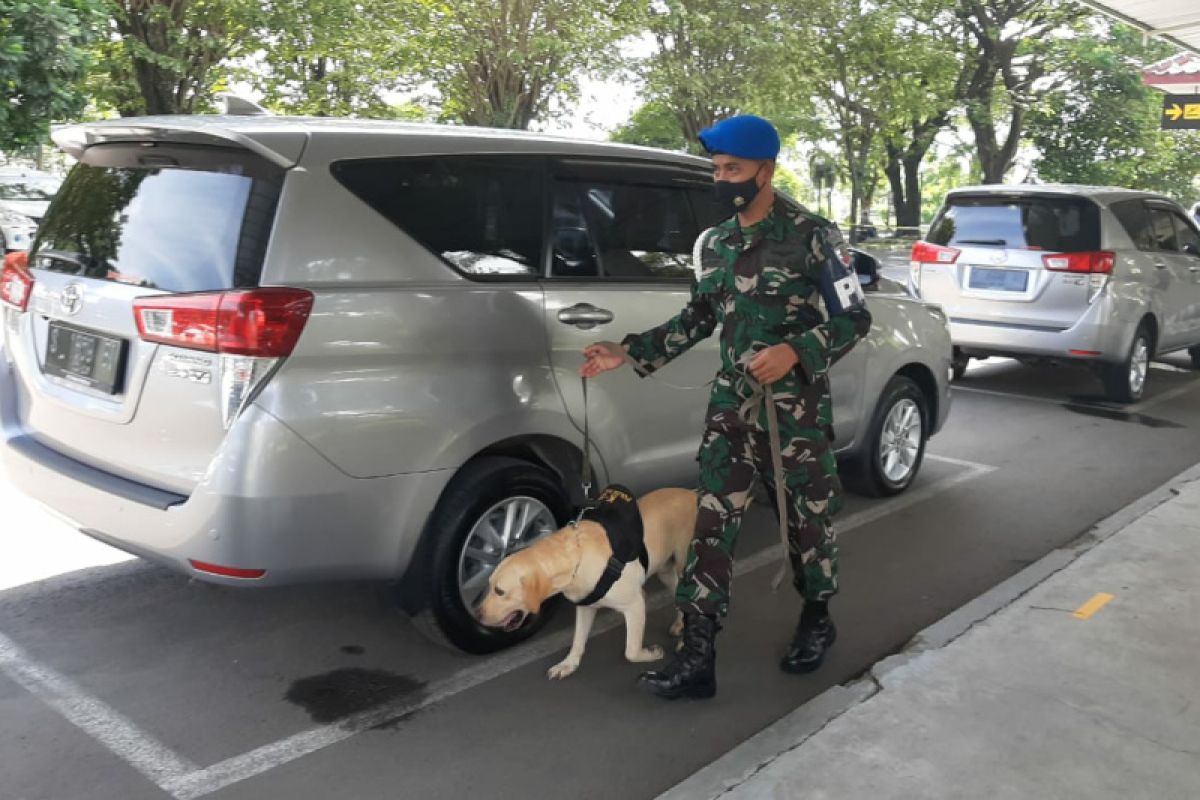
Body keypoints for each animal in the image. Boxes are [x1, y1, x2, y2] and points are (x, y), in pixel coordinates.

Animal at [477, 489, 700, 681]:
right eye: (488, 586)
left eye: (499, 591)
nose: (478, 615)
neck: (576, 558)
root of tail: (692, 492)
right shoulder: (586, 607)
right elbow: (577, 641)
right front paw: (568, 664)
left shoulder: (635, 604)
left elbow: (631, 650)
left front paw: (651, 653)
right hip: (665, 571)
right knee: (677, 596)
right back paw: (679, 624)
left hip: (684, 565)